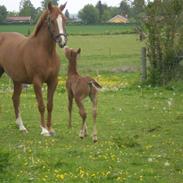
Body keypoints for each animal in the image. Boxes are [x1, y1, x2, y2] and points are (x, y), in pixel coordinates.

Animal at [0, 1, 67, 136]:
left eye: (64, 19)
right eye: (51, 20)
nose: (62, 41)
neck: (46, 52)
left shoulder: (53, 81)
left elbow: (50, 105)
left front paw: (51, 129)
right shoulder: (37, 82)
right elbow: (41, 105)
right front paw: (44, 130)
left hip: (17, 80)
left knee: (15, 99)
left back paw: (22, 127)